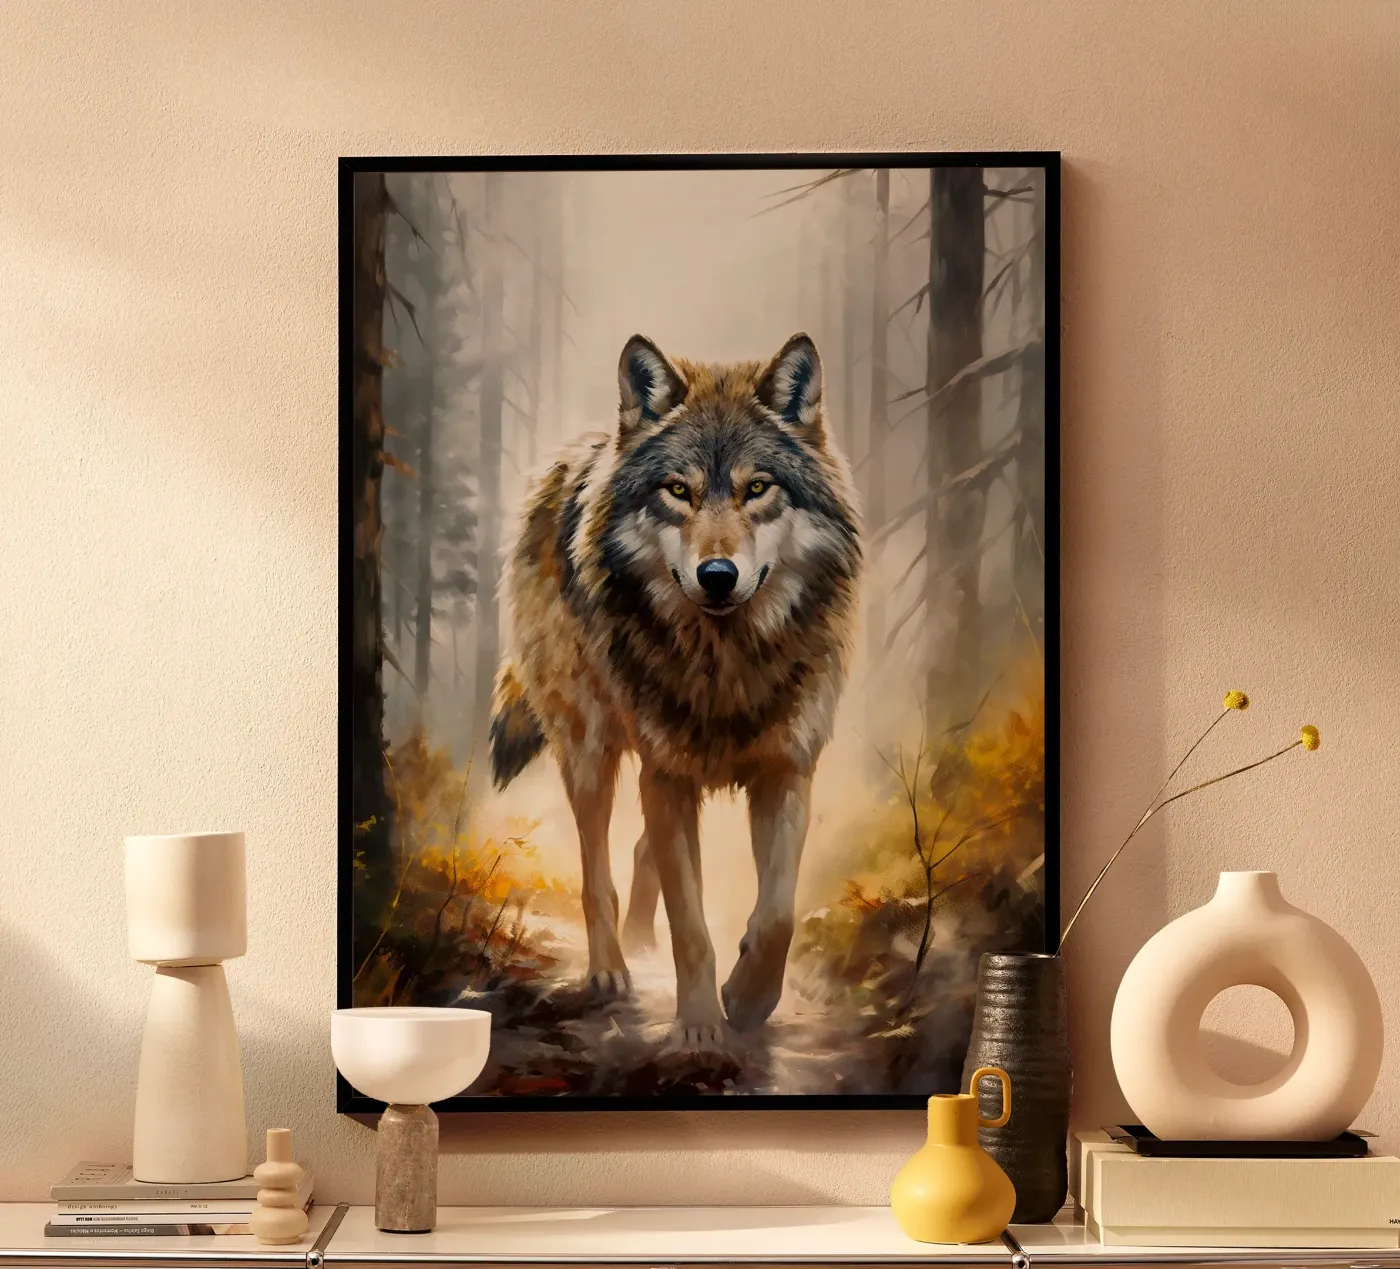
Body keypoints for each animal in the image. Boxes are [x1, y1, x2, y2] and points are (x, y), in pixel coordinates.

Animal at [488, 332, 862, 1047]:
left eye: (757, 488)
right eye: (678, 490)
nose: (717, 575)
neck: (726, 663)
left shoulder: (786, 770)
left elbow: (777, 917)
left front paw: (746, 999)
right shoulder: (666, 774)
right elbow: (690, 924)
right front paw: (700, 1027)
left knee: (642, 852)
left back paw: (640, 941)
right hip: (591, 750)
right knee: (597, 872)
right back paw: (611, 968)